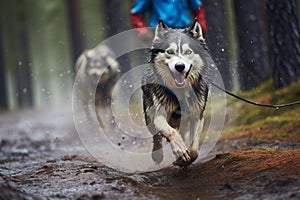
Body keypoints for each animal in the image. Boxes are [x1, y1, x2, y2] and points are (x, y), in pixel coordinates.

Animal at [142, 18, 214, 166]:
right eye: (169, 52)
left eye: (188, 52)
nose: (180, 66)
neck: (179, 92)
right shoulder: (158, 114)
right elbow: (170, 132)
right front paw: (180, 149)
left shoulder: (197, 115)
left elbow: (194, 148)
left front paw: (184, 158)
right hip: (149, 114)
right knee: (157, 136)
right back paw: (158, 155)